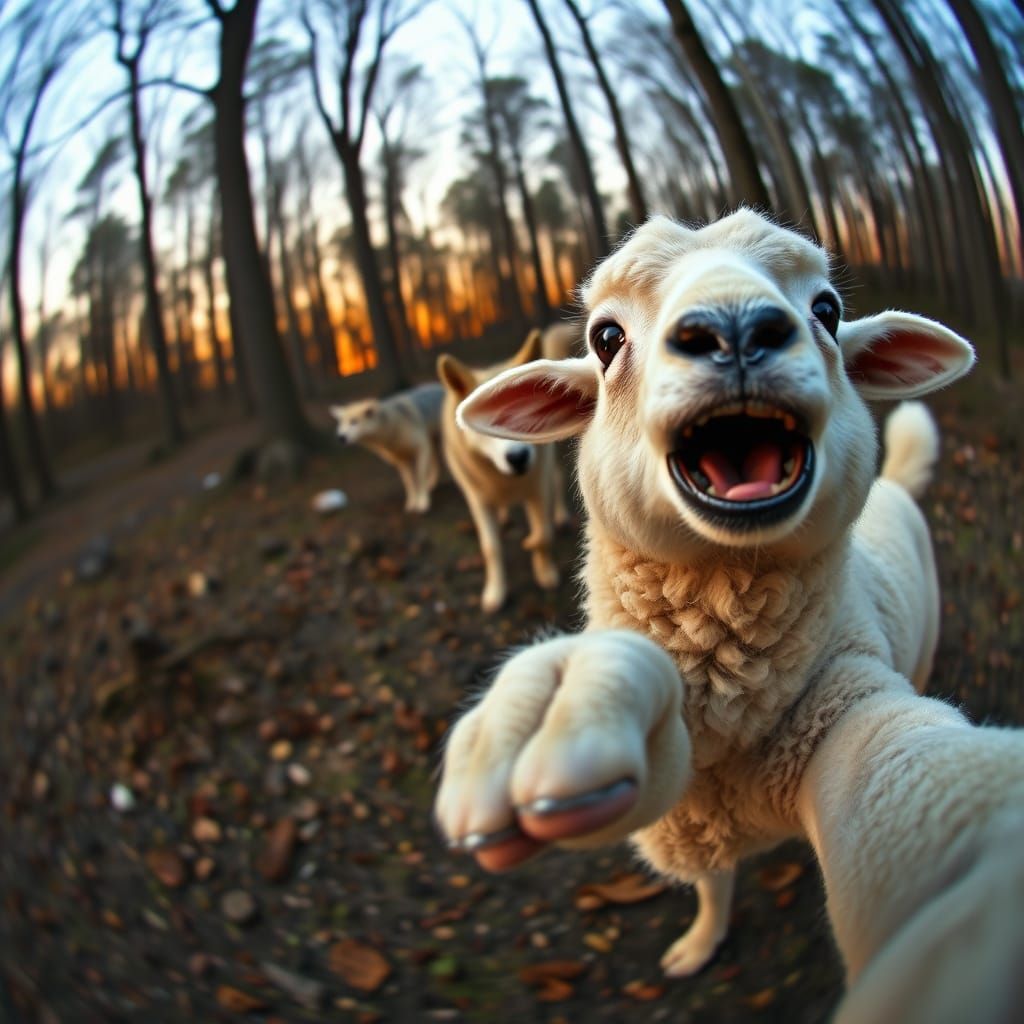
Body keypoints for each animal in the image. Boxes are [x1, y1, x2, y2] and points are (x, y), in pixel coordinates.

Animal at [434, 209, 1024, 1022]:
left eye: (827, 310)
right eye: (605, 338)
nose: (736, 327)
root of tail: (896, 486)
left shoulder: (844, 703)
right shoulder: (686, 809)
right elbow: (712, 886)